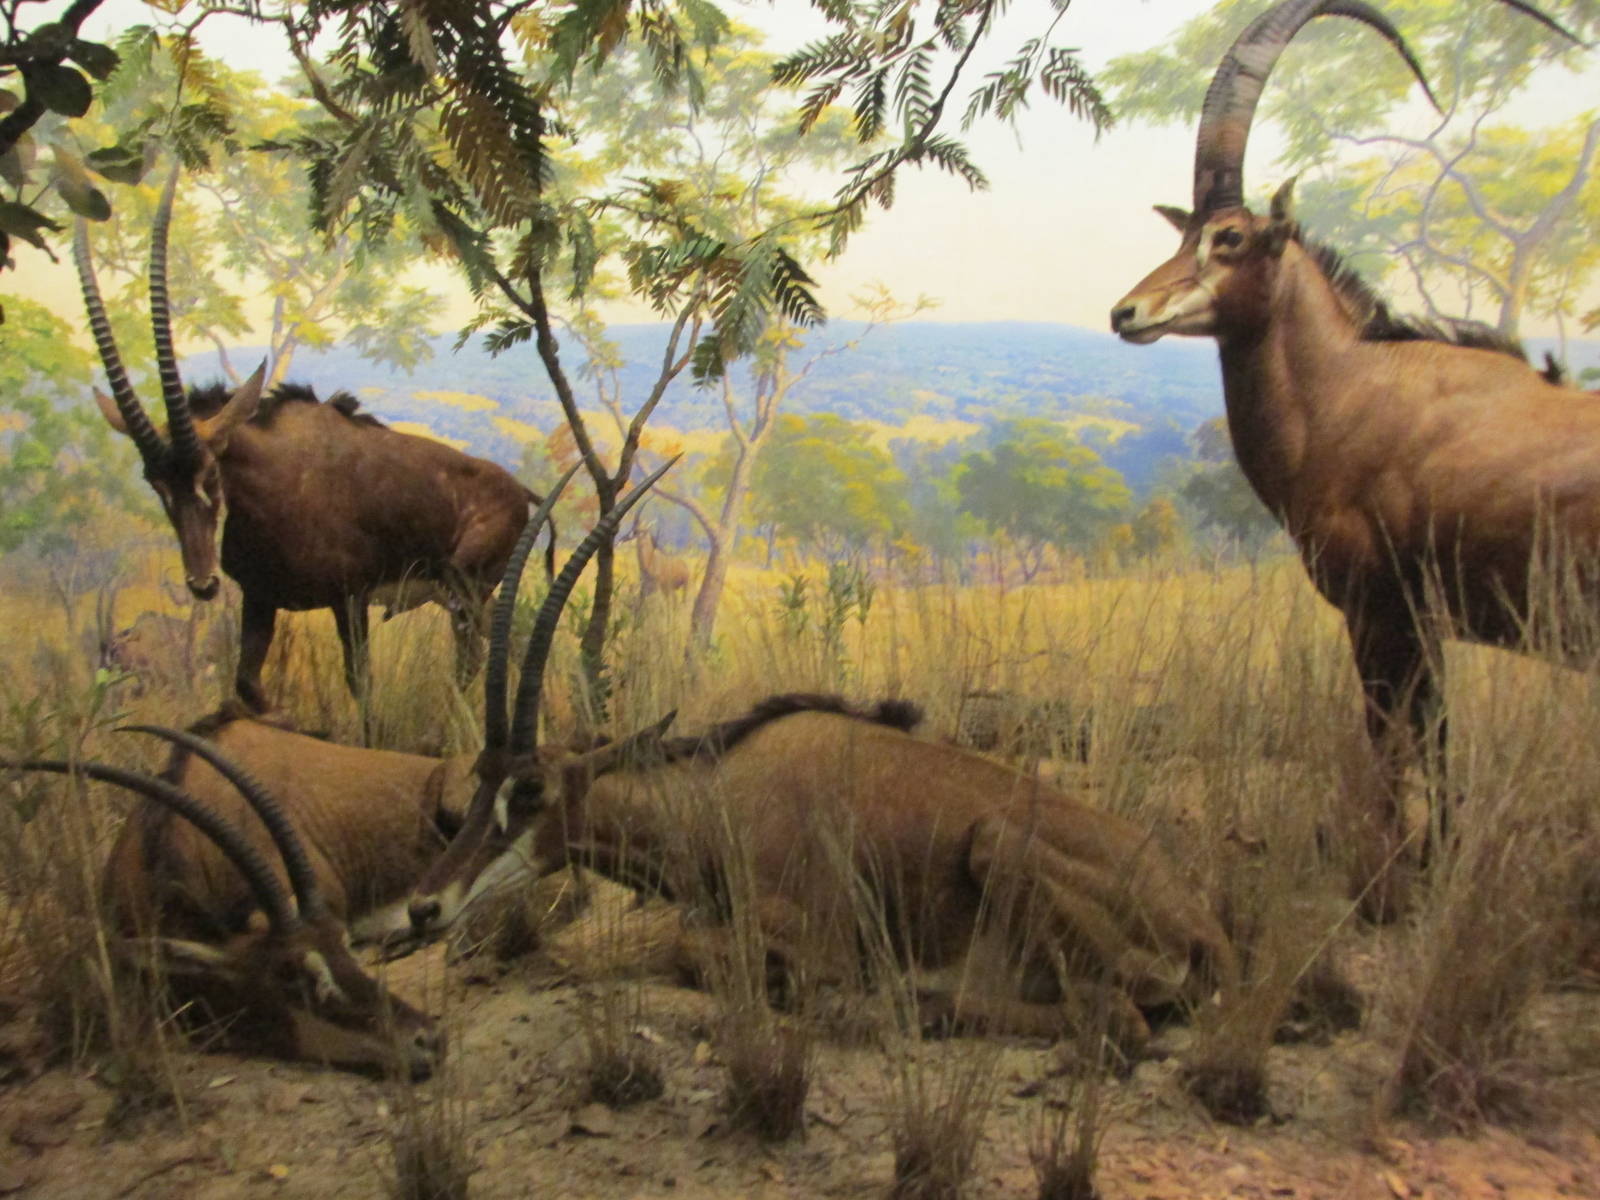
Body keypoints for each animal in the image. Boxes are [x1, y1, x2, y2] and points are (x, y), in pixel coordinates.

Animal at [76, 164, 554, 712]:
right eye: (154, 482)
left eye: (211, 470)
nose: (202, 584)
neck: (274, 484)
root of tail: (521, 492)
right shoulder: (260, 598)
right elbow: (246, 684)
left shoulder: (349, 599)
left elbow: (361, 686)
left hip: (465, 589)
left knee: (473, 657)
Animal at [1108, 0, 1589, 911]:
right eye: (1187, 234)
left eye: (1232, 238)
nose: (1128, 312)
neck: (1360, 388)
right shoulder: (1423, 627)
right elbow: (1436, 744)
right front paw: (1435, 868)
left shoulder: (1382, 615)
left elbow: (1396, 747)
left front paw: (1393, 888)